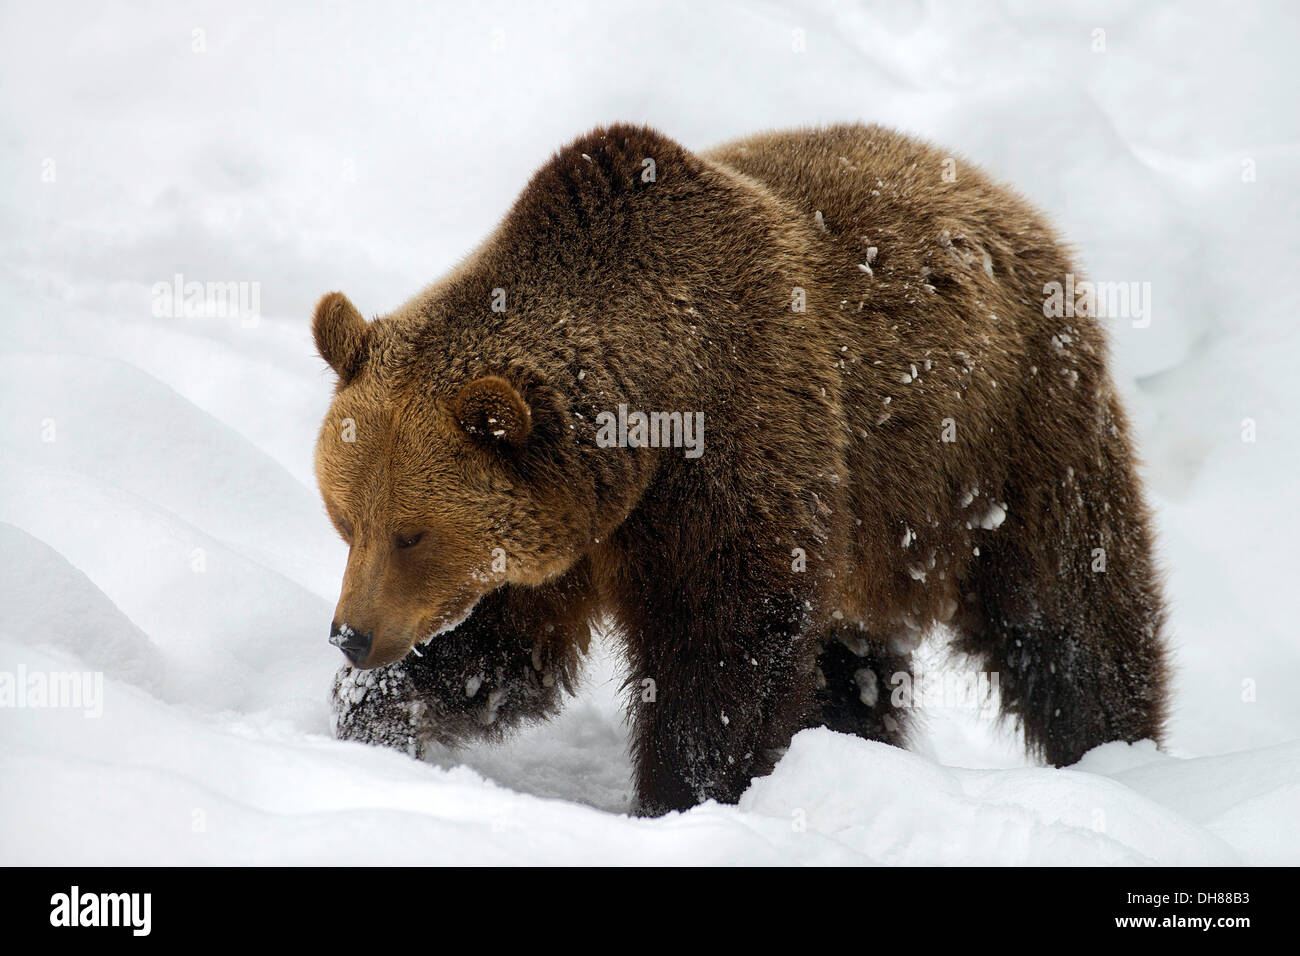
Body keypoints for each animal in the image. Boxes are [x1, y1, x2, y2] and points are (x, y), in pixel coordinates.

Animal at [314, 123, 1169, 815]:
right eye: (346, 520)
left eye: (413, 533)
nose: (351, 634)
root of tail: (1005, 198)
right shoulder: (562, 529)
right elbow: (497, 653)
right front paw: (375, 714)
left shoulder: (733, 456)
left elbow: (723, 648)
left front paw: (685, 793)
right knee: (855, 660)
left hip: (1008, 437)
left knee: (1066, 610)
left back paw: (1117, 753)